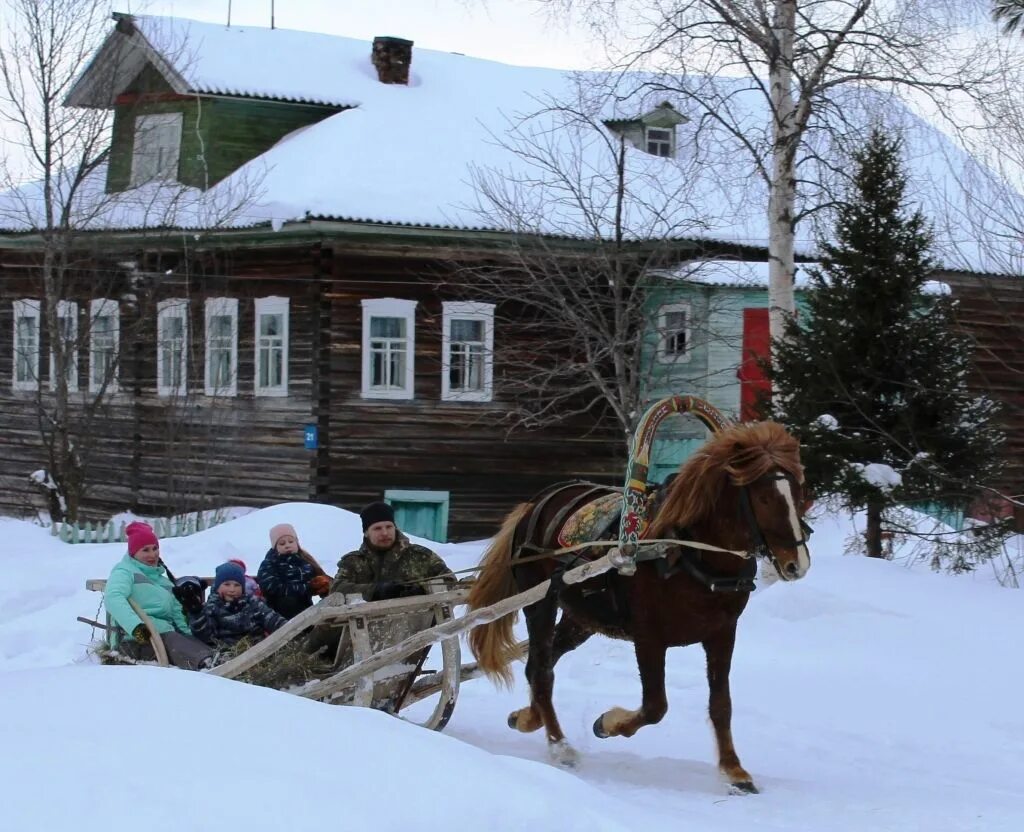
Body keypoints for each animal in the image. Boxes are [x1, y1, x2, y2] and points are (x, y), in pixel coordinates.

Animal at [468, 422, 811, 791]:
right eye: (764, 497)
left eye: (798, 491)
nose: (797, 564)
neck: (684, 552)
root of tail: (535, 504)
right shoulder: (649, 638)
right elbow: (655, 706)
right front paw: (608, 723)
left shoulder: (722, 634)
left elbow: (721, 704)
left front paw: (734, 770)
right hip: (541, 602)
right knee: (542, 671)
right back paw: (560, 746)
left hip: (581, 618)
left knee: (541, 663)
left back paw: (529, 717)